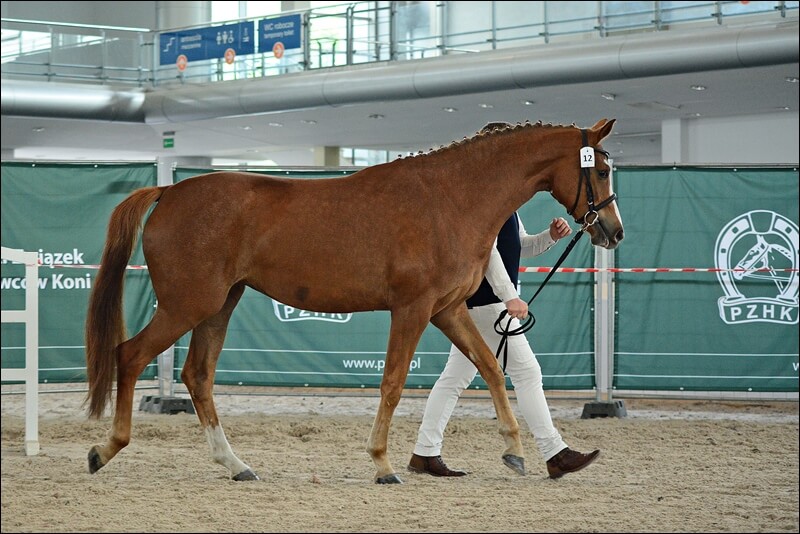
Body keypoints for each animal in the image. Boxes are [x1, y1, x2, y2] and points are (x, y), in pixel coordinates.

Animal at [87, 120, 624, 486]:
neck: (450, 198)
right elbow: (392, 383)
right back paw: (106, 449)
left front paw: (514, 450)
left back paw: (236, 465)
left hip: (219, 306)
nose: (613, 232)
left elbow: (491, 369)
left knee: (197, 375)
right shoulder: (412, 309)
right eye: (599, 170)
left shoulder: (447, 310)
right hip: (187, 305)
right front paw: (383, 464)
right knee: (129, 356)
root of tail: (169, 190)